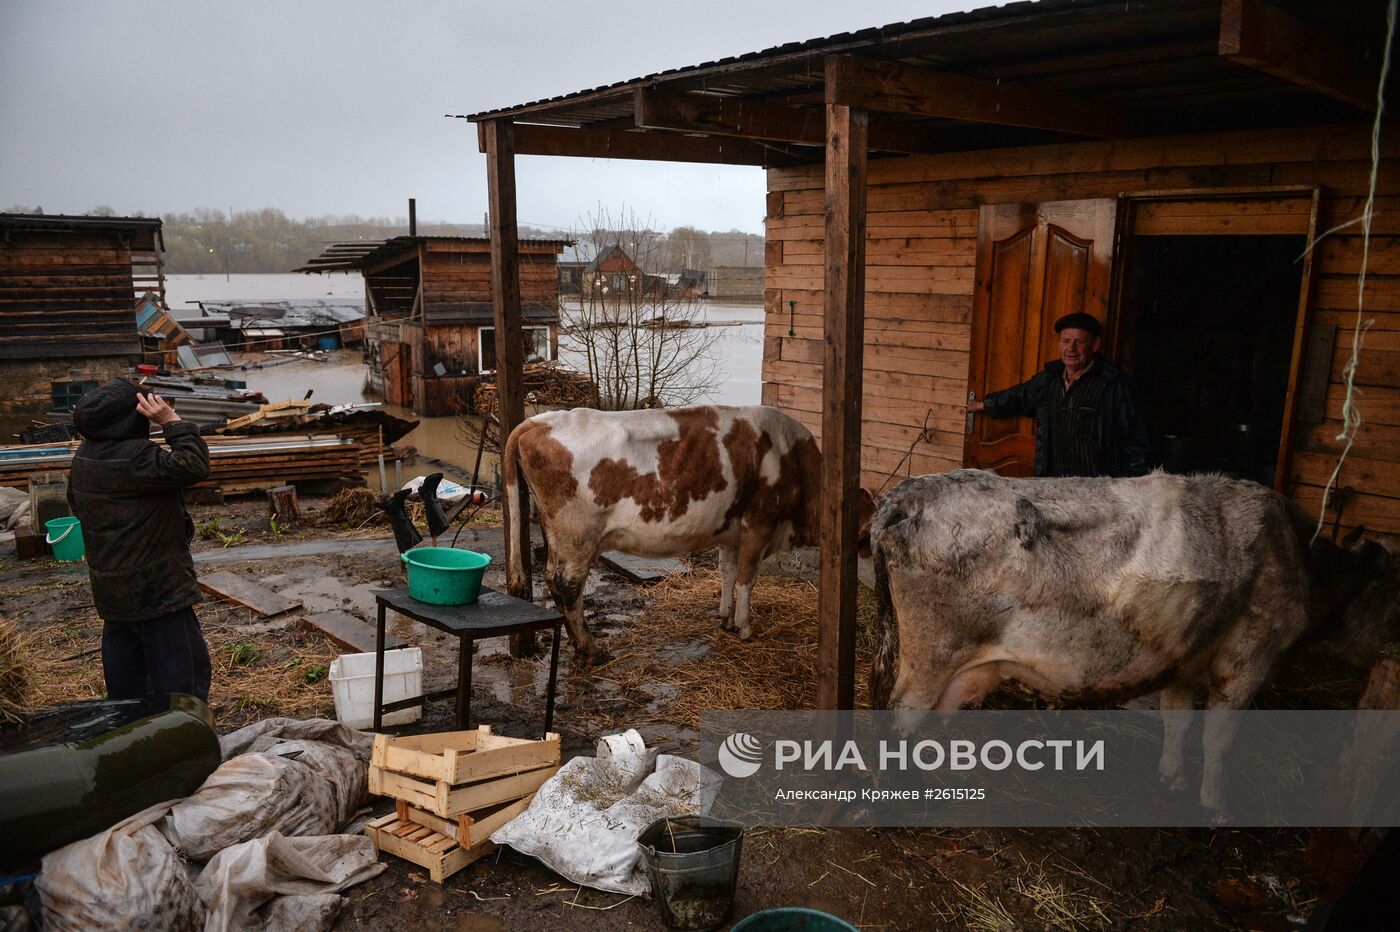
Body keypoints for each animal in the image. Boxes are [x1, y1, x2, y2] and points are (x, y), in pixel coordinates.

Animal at [504, 405, 873, 660]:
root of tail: (539, 420)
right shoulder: (759, 522)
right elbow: (747, 578)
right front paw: (745, 627)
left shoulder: (731, 530)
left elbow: (727, 572)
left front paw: (725, 617)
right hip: (577, 535)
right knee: (567, 586)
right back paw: (590, 649)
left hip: (559, 536)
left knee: (553, 581)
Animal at [868, 464, 1394, 811]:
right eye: (1393, 593)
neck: (1302, 559)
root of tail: (907, 492)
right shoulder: (1248, 659)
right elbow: (1219, 737)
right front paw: (1214, 804)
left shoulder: (1183, 658)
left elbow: (1179, 719)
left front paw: (1172, 777)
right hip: (932, 657)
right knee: (900, 718)